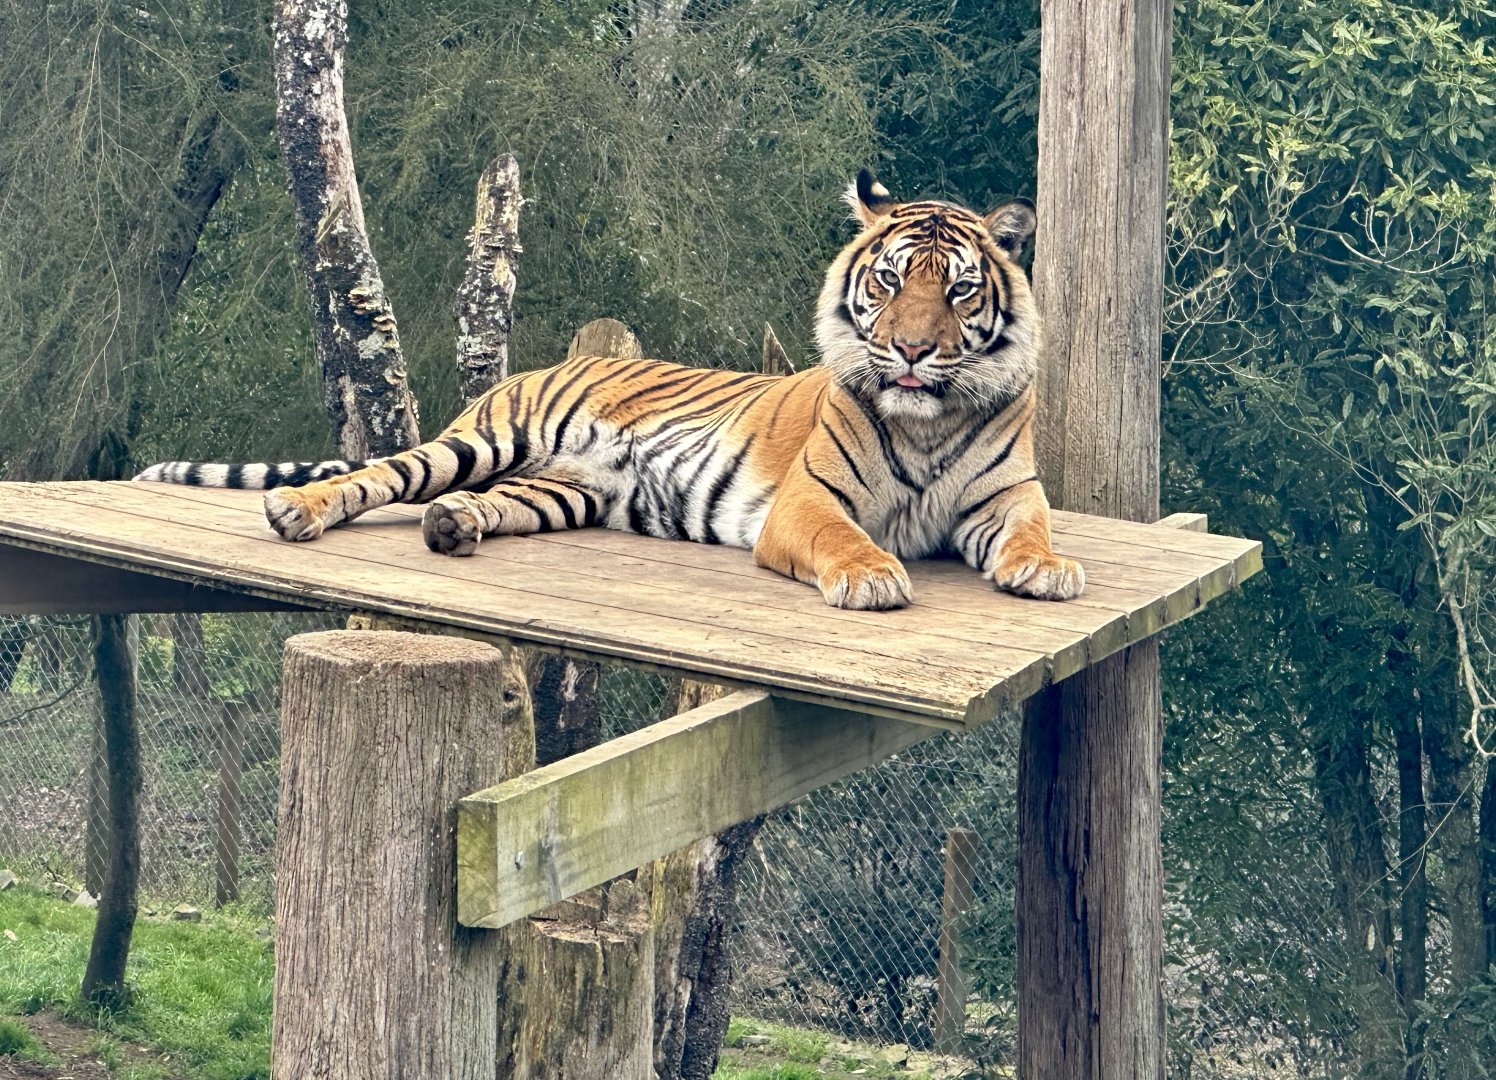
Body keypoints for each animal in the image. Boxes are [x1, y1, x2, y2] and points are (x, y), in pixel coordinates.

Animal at [134, 171, 1083, 611]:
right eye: (888, 282)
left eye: (957, 291)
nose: (912, 349)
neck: (926, 421)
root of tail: (540, 366)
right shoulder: (809, 503)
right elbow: (845, 540)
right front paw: (874, 576)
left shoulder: (1008, 497)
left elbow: (1031, 531)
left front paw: (1048, 569)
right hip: (483, 440)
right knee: (378, 476)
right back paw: (299, 511)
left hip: (562, 491)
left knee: (484, 504)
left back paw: (454, 525)